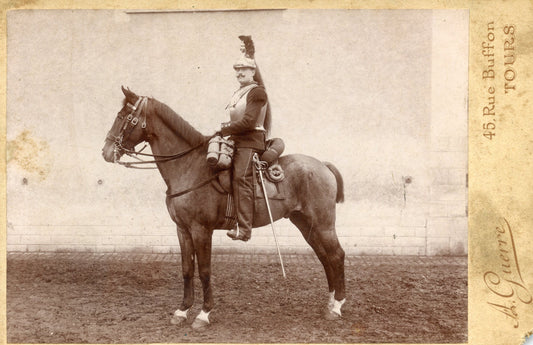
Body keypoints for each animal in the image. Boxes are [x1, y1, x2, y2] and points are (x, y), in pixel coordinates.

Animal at [102, 86, 348, 328]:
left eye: (124, 116)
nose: (105, 151)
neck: (189, 167)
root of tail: (323, 165)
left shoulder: (201, 230)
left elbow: (204, 271)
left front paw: (203, 314)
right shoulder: (182, 229)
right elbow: (187, 269)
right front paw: (182, 311)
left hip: (324, 225)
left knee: (336, 255)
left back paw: (337, 307)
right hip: (306, 224)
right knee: (324, 257)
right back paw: (329, 303)